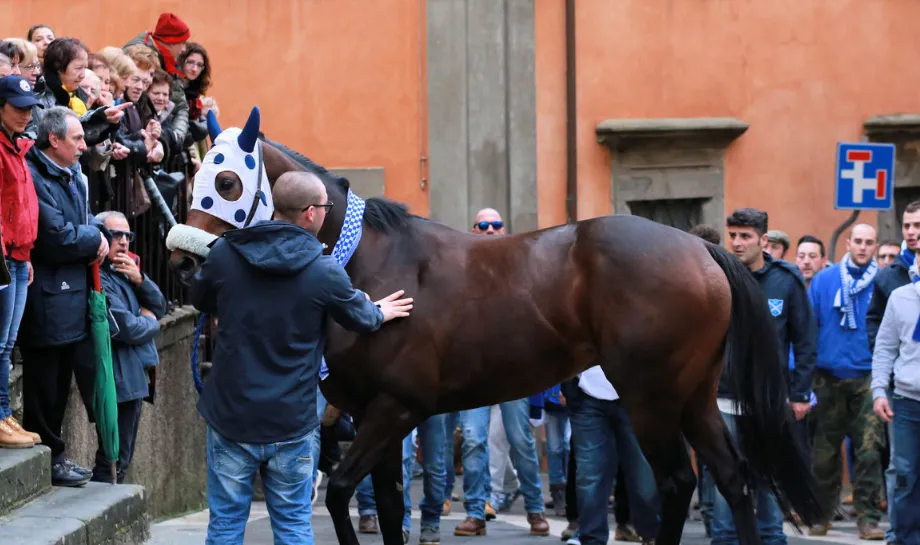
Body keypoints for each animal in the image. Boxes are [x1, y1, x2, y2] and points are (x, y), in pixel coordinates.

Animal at [169, 109, 824, 544]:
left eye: (226, 182)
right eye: (193, 178)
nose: (181, 263)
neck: (367, 263)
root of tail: (703, 249)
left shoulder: (397, 407)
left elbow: (337, 492)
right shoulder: (374, 413)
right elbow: (388, 506)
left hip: (651, 397)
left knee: (675, 482)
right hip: (695, 394)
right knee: (734, 477)